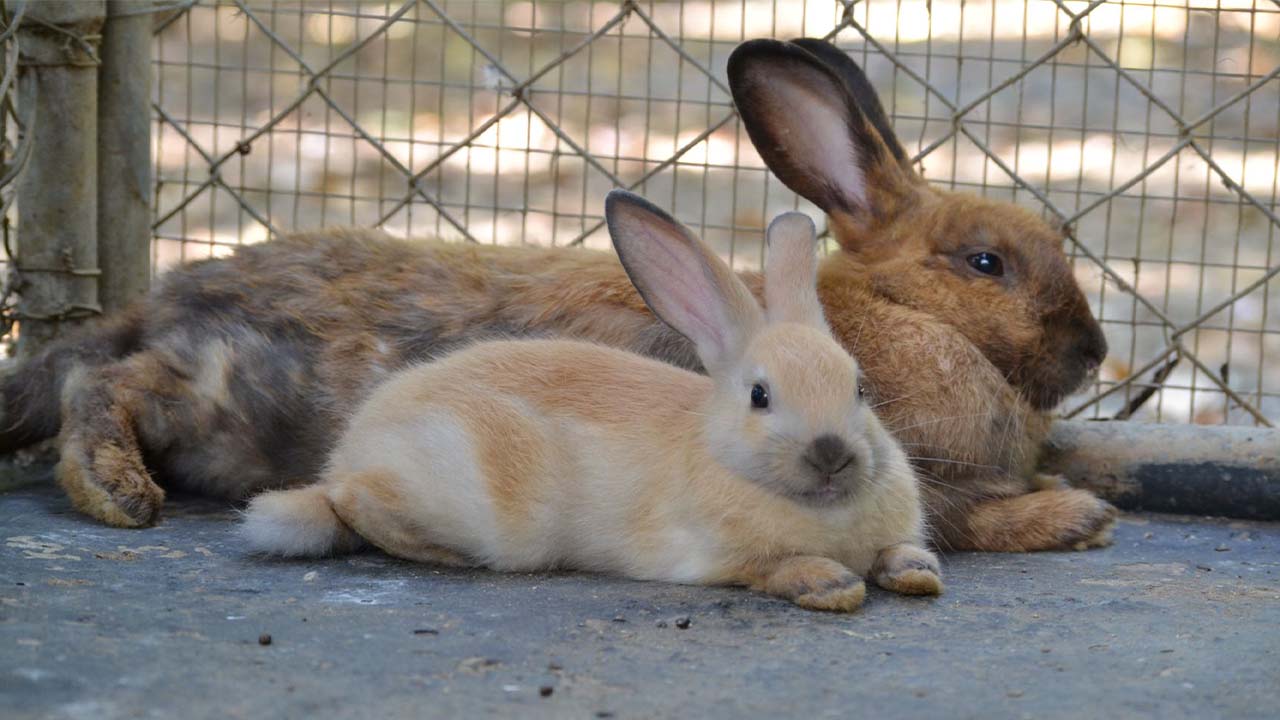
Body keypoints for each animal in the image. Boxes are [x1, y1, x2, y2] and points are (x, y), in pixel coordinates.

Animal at [2, 37, 1111, 548]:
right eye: (985, 263)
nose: (1094, 355)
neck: (894, 318)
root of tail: (155, 306)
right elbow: (963, 518)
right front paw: (1076, 516)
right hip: (225, 393)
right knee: (104, 385)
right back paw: (116, 489)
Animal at [241, 192, 942, 609]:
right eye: (760, 395)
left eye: (859, 387)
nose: (832, 455)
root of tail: (352, 452)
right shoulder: (712, 557)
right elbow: (773, 567)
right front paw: (833, 584)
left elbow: (897, 553)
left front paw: (916, 572)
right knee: (353, 503)